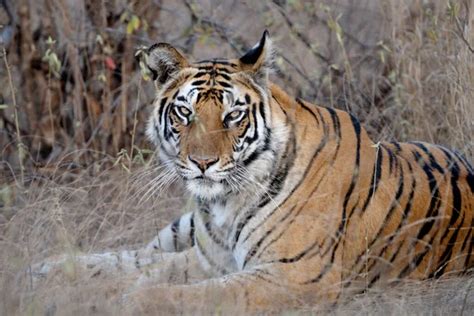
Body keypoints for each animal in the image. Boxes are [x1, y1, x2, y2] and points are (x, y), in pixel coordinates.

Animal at [31, 30, 472, 312]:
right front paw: (86, 287)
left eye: (233, 116)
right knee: (138, 253)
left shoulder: (294, 275)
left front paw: (126, 300)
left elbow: (195, 294)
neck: (224, 205)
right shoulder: (209, 258)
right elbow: (145, 270)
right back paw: (44, 268)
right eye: (185, 113)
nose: (203, 163)